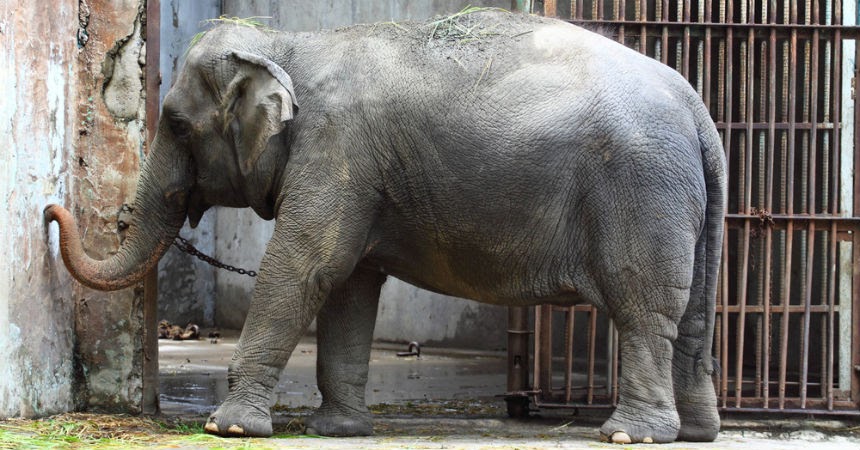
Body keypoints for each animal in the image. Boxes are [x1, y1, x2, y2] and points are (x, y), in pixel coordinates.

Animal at [45, 10, 726, 444]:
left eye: (179, 126)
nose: (51, 211)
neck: (289, 43)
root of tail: (698, 107)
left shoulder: (336, 149)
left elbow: (306, 265)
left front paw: (229, 427)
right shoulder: (355, 171)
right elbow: (350, 285)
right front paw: (337, 430)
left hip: (641, 190)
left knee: (644, 312)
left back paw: (632, 436)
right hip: (687, 206)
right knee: (692, 318)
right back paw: (695, 433)